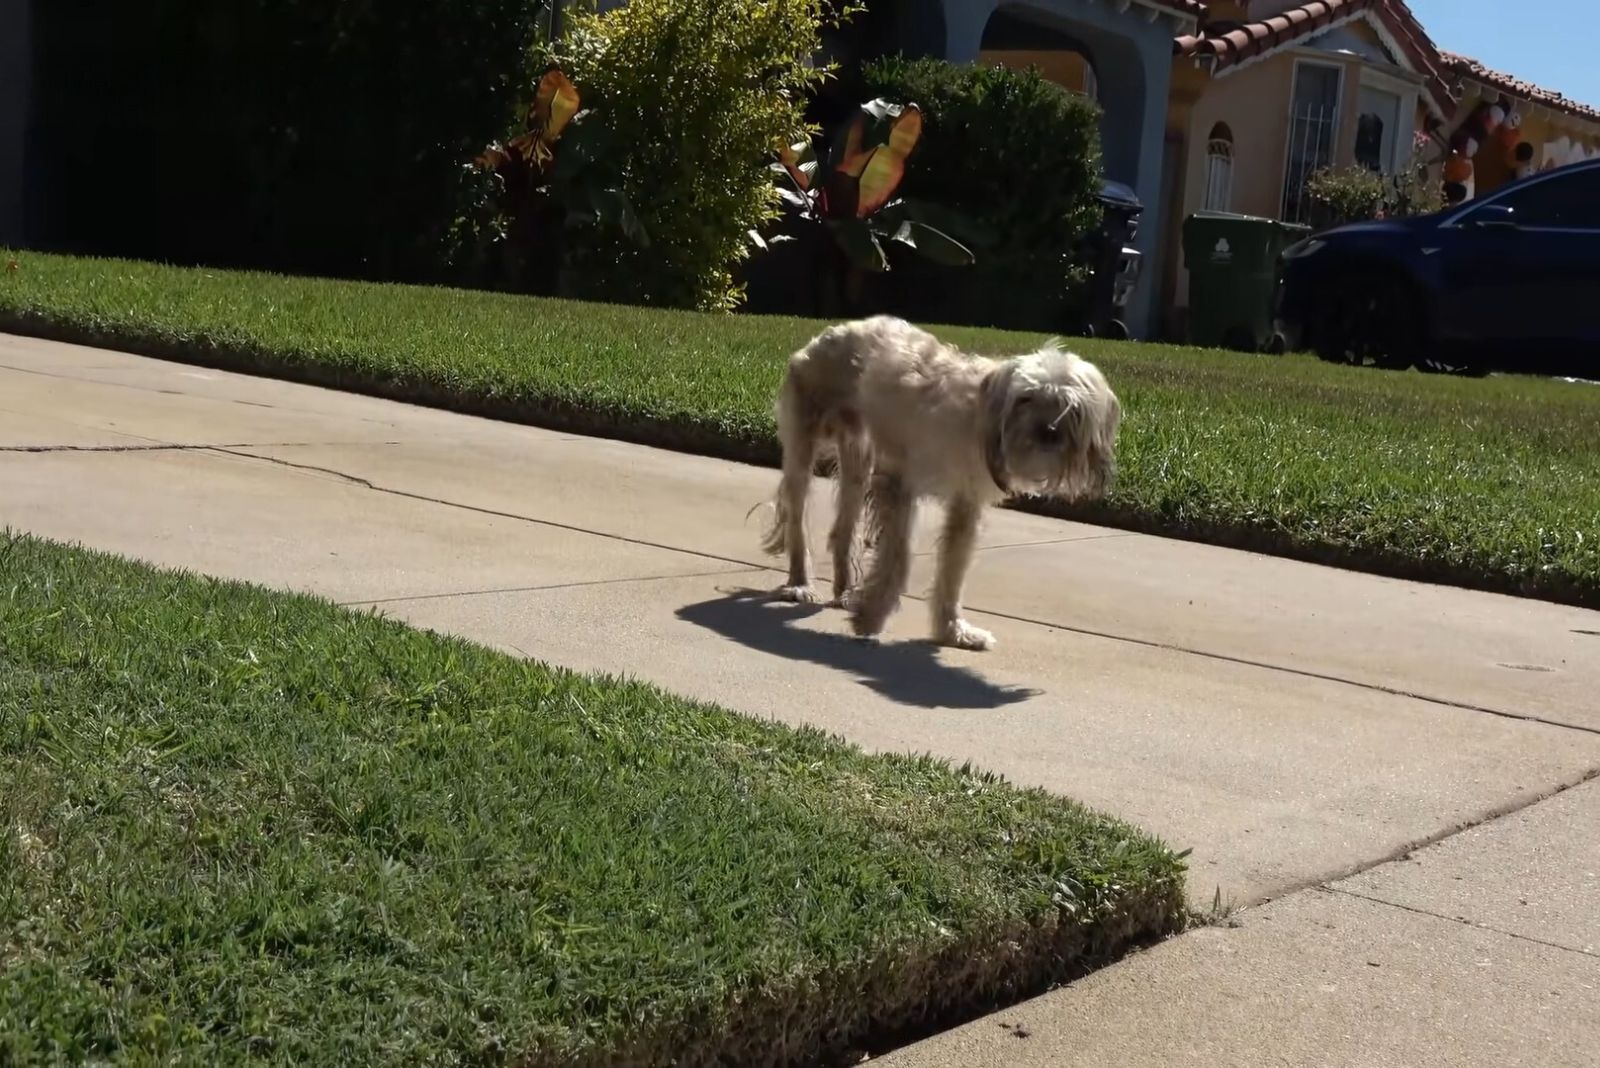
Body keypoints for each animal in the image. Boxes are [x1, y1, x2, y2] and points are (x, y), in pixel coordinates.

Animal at [758, 314, 1113, 652]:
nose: (1048, 433)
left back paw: (844, 591)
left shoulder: (966, 504)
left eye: (1070, 406)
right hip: (804, 446)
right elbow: (900, 555)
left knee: (841, 531)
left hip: (858, 463)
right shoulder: (899, 482)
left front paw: (953, 631)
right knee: (797, 516)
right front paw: (873, 616)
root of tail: (830, 333)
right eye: (1025, 399)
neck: (974, 419)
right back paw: (800, 584)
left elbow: (953, 572)